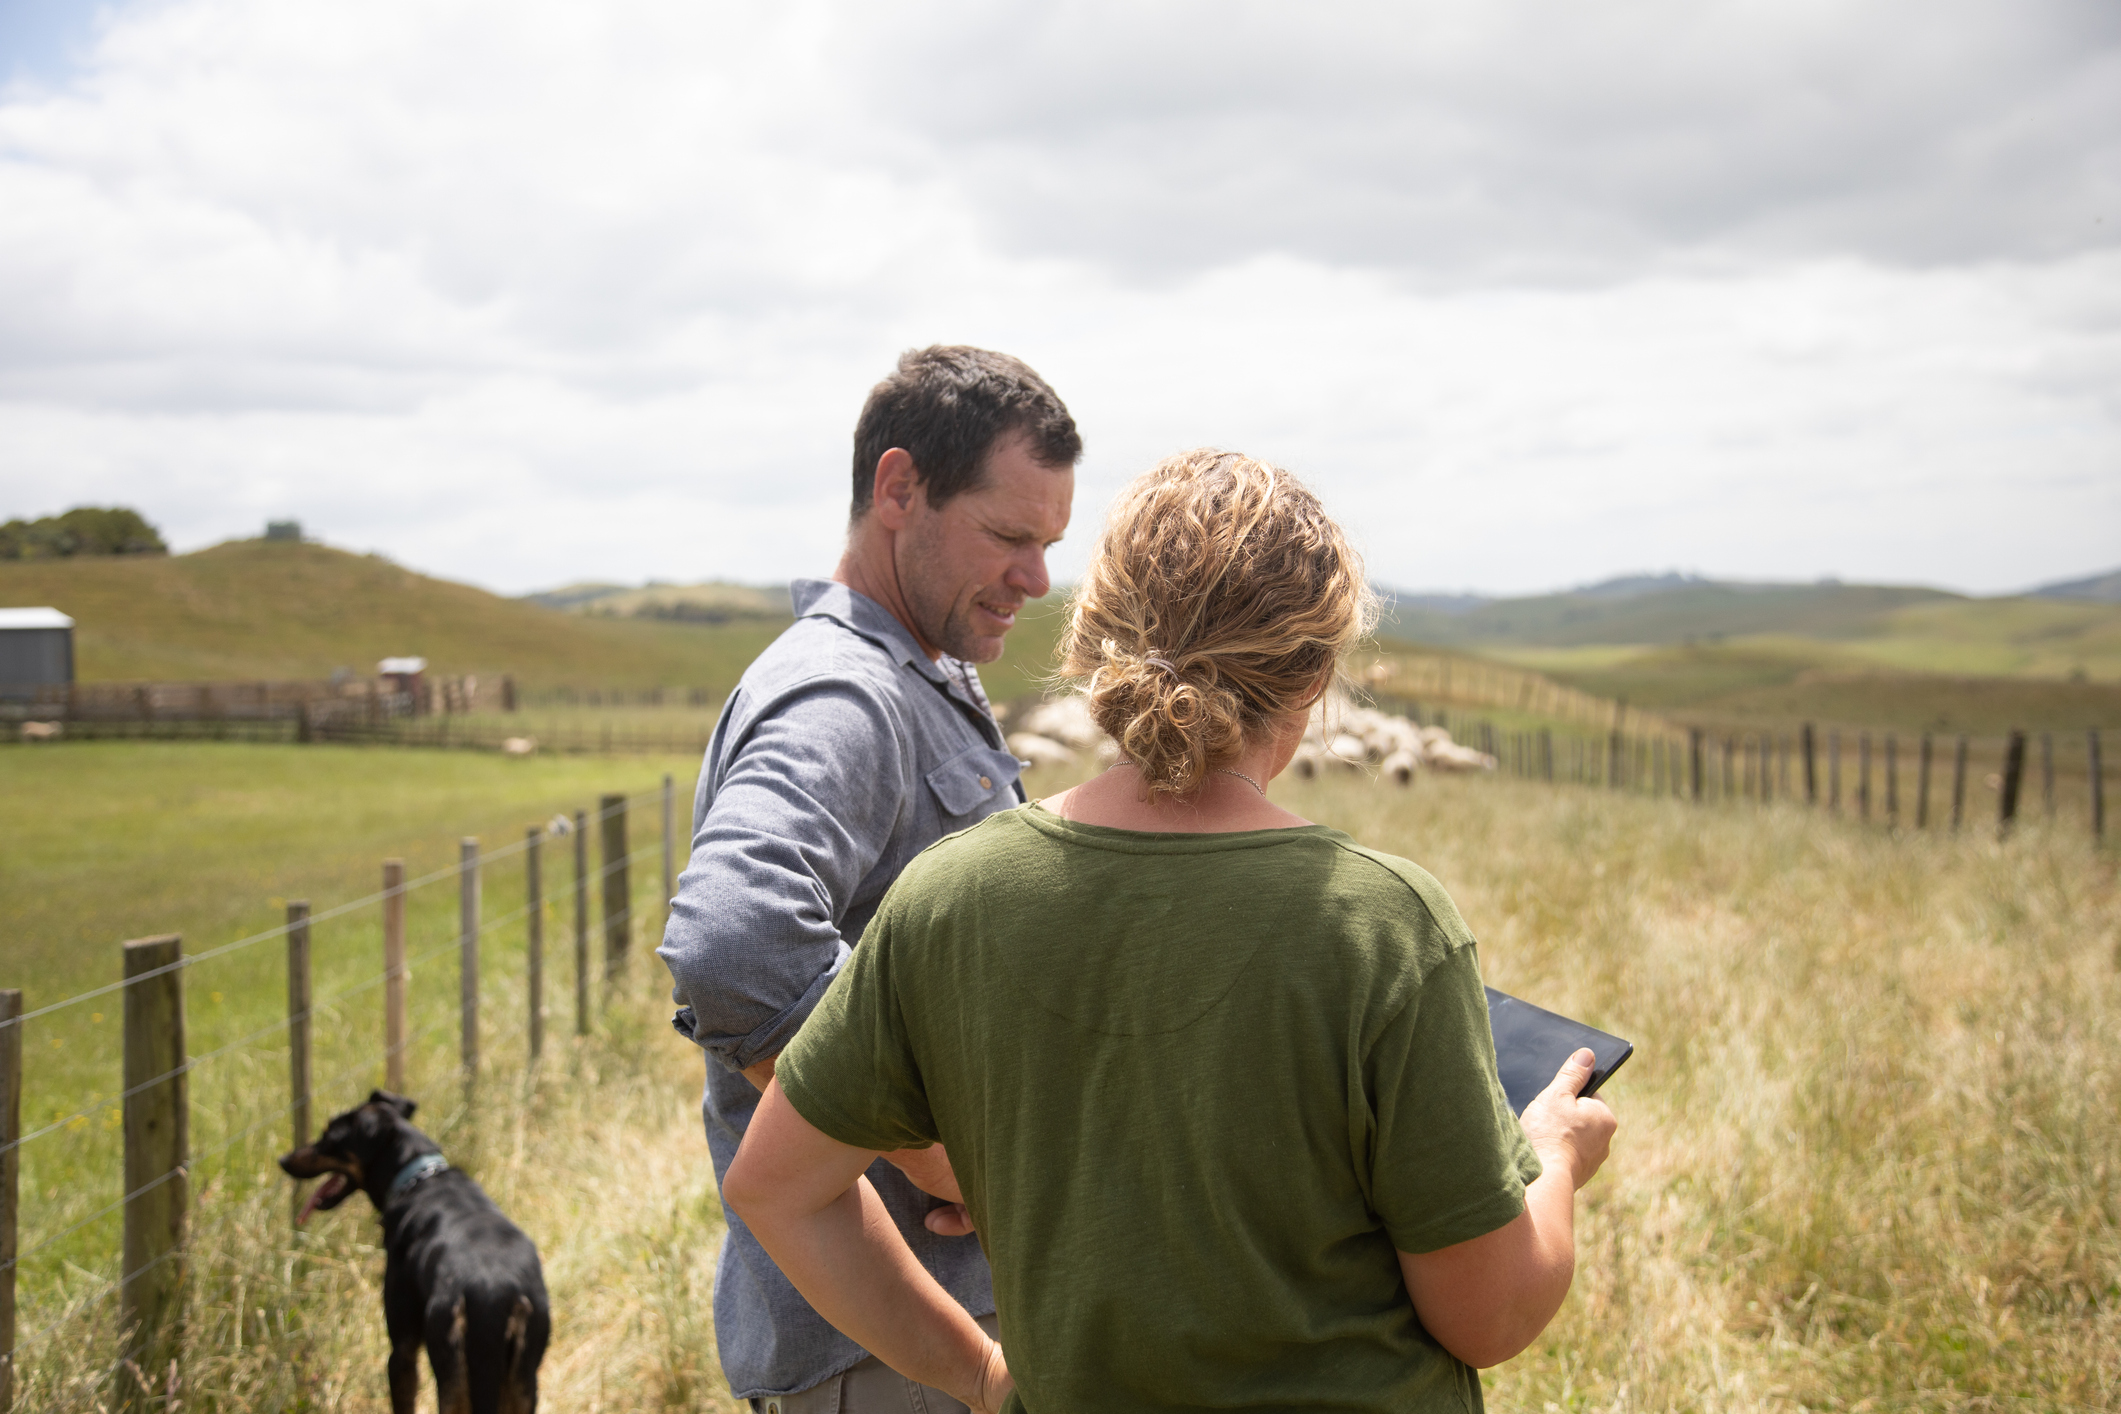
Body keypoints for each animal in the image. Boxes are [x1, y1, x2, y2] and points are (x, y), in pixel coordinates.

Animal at [277, 1093, 551, 1414]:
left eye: (328, 1137)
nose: (283, 1160)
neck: (420, 1177)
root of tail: (496, 1292)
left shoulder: (402, 1350)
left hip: (452, 1379)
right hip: (522, 1383)